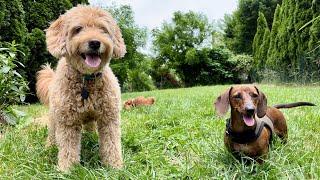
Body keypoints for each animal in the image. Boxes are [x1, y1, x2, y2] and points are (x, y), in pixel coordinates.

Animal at [36, 5, 126, 172]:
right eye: (78, 29)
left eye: (103, 29)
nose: (95, 43)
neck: (87, 79)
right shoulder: (67, 121)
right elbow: (68, 147)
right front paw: (67, 169)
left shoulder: (109, 118)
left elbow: (111, 144)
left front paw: (115, 167)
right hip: (54, 116)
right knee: (52, 133)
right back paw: (49, 146)